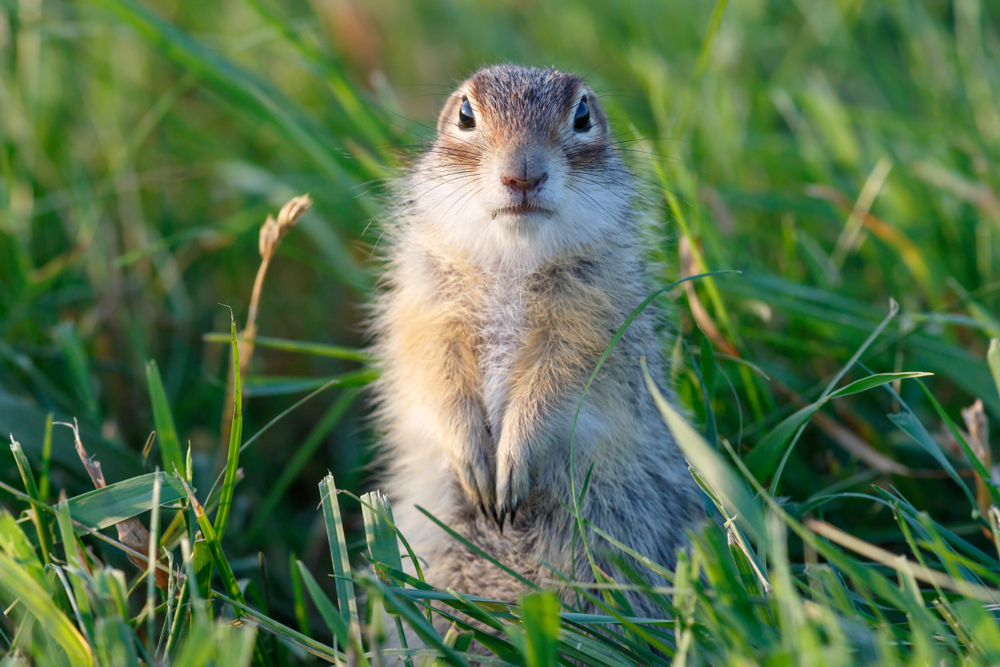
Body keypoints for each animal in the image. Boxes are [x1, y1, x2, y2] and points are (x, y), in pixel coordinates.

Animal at [372, 66, 708, 620]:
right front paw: (472, 459)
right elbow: (435, 375)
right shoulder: (426, 313)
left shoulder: (590, 327)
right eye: (465, 113)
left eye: (583, 115)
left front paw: (512, 465)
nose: (523, 175)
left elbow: (555, 389)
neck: (513, 257)